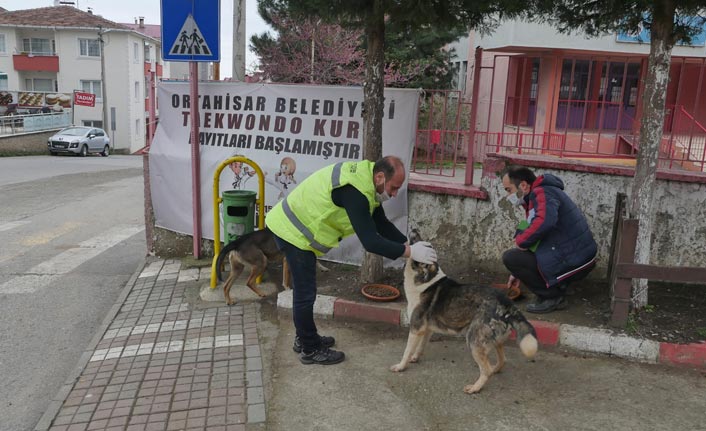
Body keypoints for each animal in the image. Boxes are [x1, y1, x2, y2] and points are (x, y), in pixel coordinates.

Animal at [390, 230, 532, 394]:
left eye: (421, 243)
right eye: (425, 243)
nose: (415, 230)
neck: (424, 280)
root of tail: (506, 303)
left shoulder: (415, 328)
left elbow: (407, 351)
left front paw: (401, 366)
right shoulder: (426, 330)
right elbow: (420, 347)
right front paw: (415, 358)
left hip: (474, 341)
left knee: (486, 370)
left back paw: (475, 388)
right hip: (494, 340)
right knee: (502, 360)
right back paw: (495, 369)